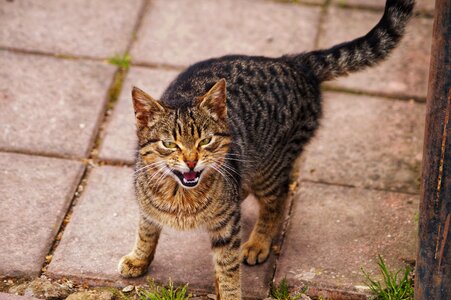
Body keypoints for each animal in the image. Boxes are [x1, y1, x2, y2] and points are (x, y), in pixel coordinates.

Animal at [118, 1, 414, 298]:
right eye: (169, 143)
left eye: (205, 141)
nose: (191, 161)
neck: (181, 196)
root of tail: (293, 62)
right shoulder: (147, 205)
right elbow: (146, 231)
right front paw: (139, 258)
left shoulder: (227, 227)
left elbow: (228, 268)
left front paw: (229, 291)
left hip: (270, 166)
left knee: (277, 199)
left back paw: (258, 242)